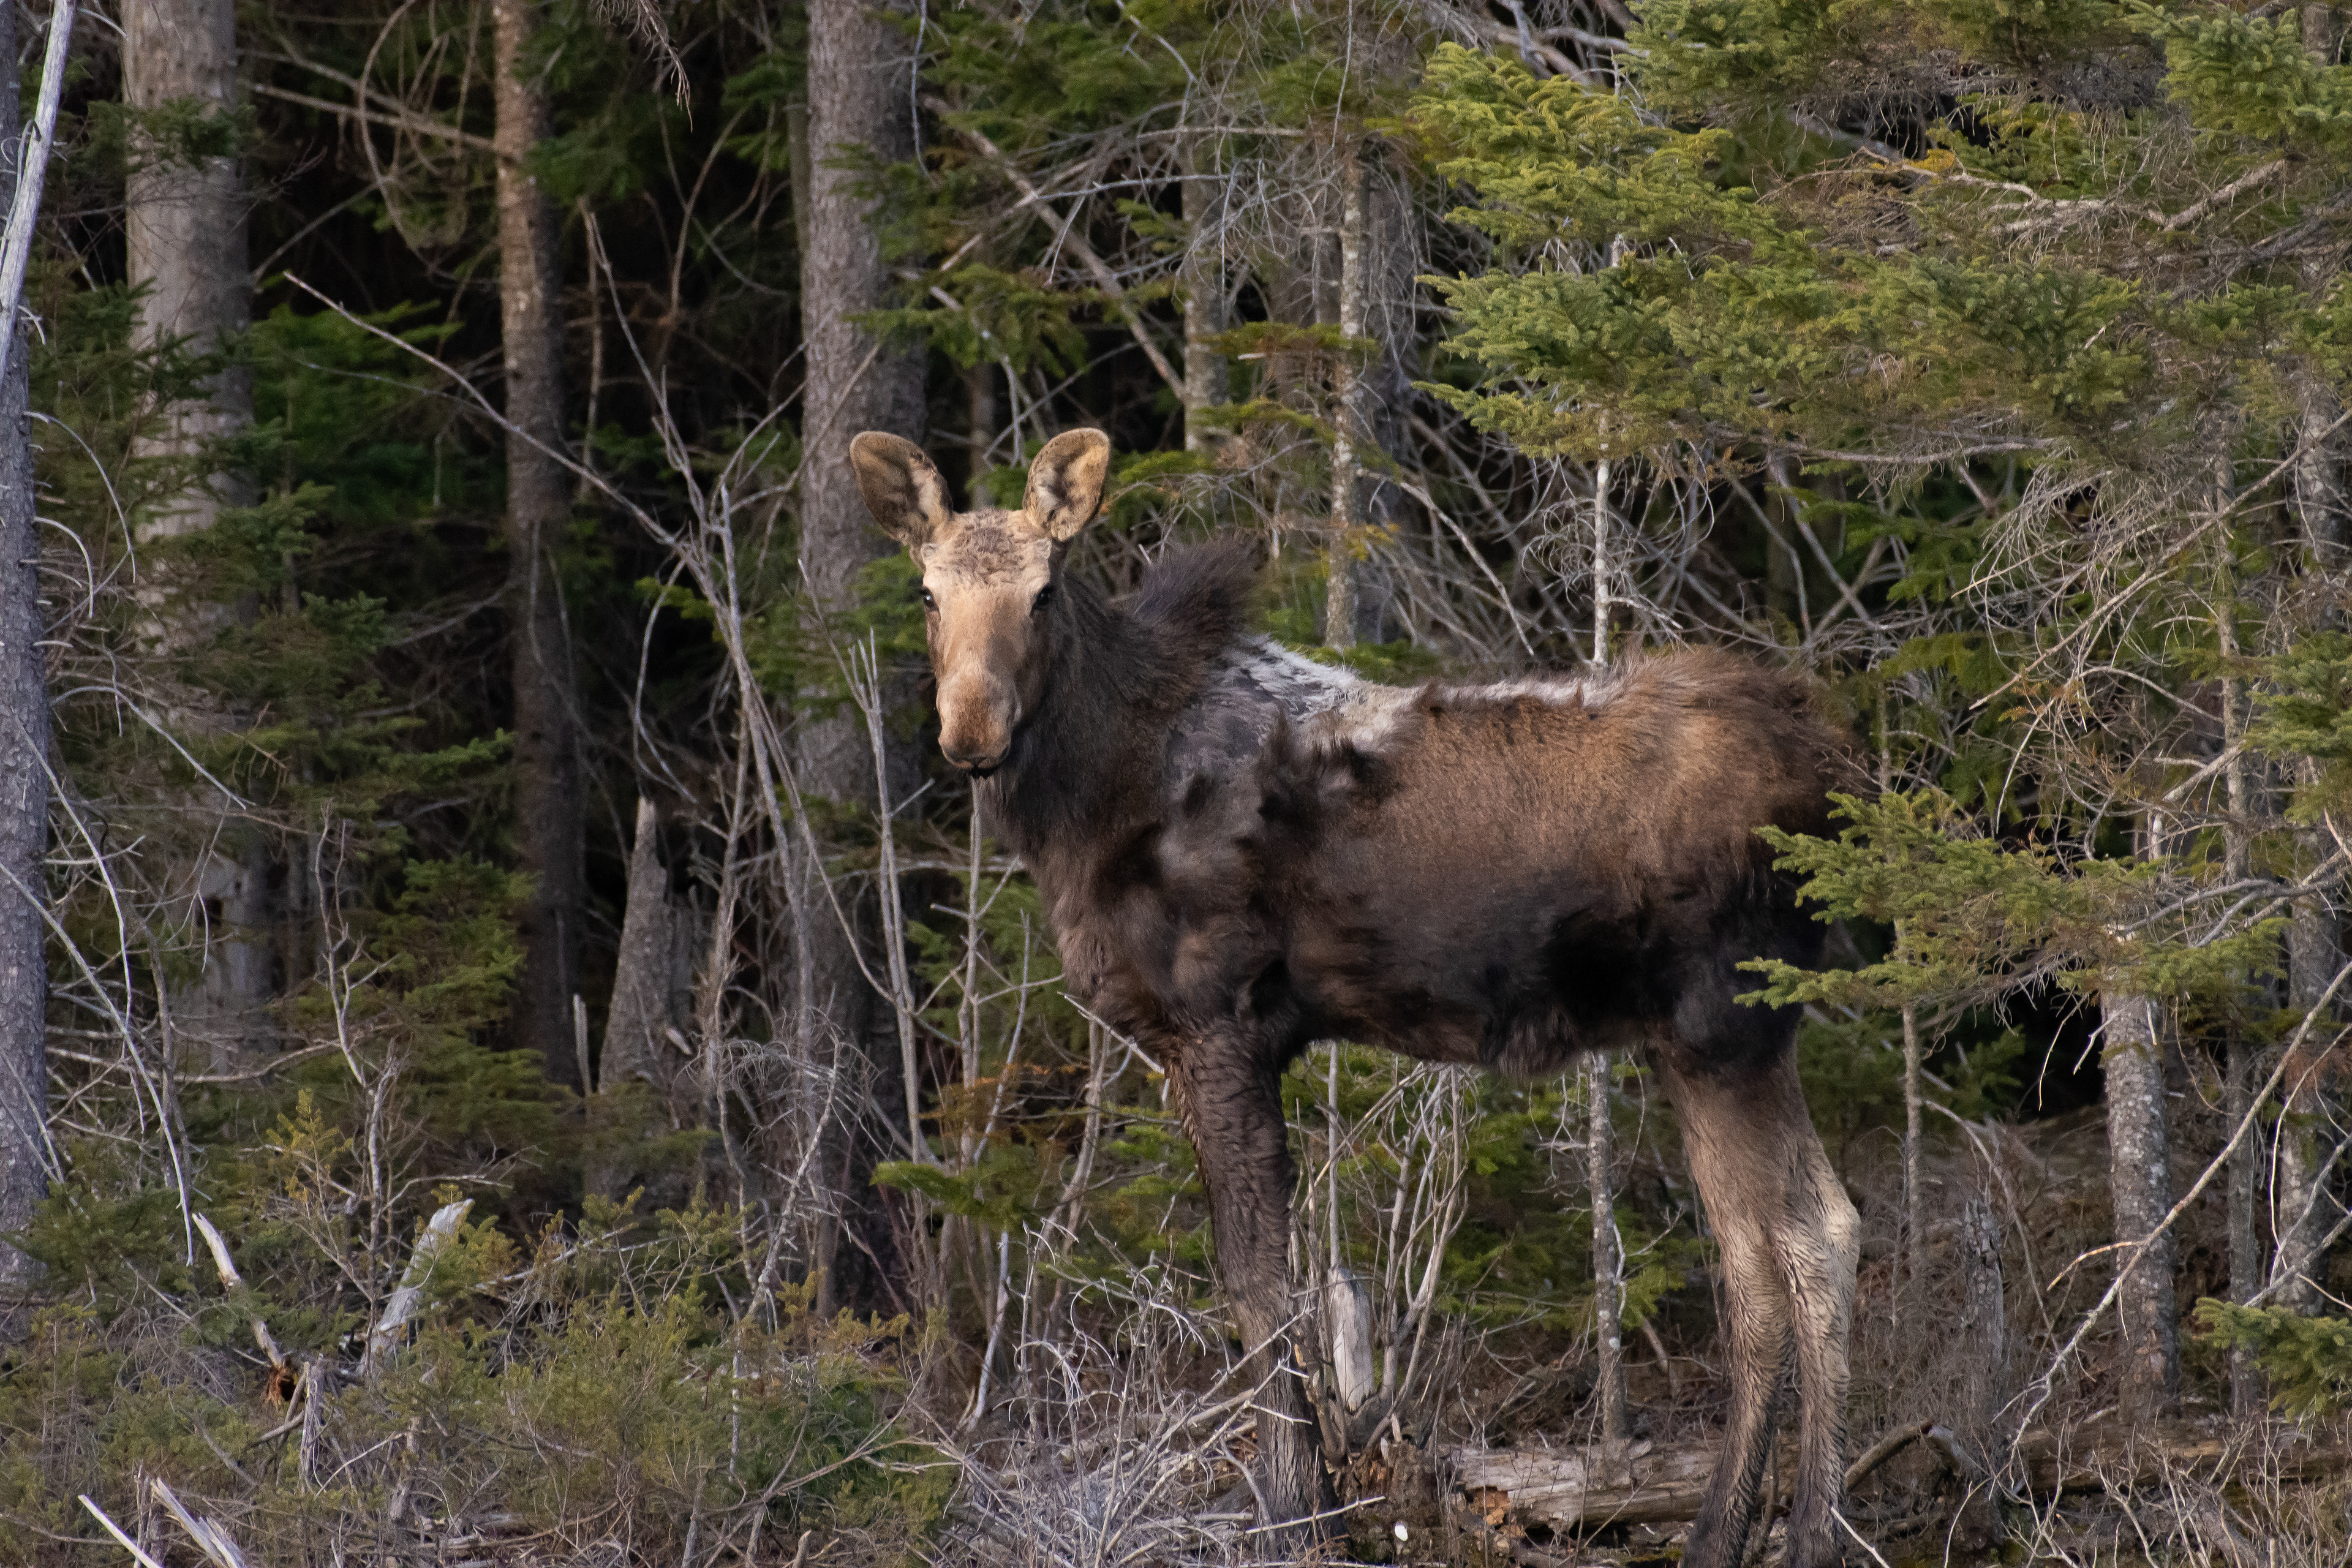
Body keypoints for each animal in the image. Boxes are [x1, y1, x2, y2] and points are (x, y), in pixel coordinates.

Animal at [850, 426, 1860, 1567]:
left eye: (1045, 592)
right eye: (927, 592)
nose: (971, 730)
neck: (1088, 801)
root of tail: (1838, 766)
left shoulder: (1218, 1025)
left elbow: (1260, 1290)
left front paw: (1294, 1517)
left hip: (1726, 1025)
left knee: (1793, 1248)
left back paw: (1791, 1535)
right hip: (1701, 1040)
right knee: (1793, 1241)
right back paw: (1746, 1532)